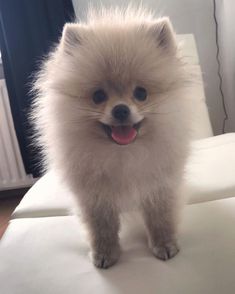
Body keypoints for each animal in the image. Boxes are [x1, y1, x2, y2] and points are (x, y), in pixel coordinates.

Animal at [33, 6, 195, 268]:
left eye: (141, 93)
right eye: (98, 96)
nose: (120, 109)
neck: (122, 154)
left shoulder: (159, 186)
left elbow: (160, 218)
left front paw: (164, 244)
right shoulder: (94, 196)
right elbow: (101, 228)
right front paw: (105, 254)